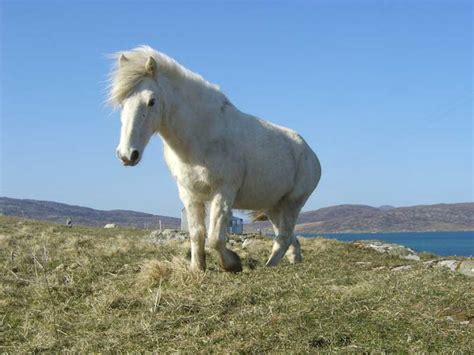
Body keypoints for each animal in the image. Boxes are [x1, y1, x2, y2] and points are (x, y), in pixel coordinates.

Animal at [109, 44, 320, 272]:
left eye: (151, 102)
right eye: (122, 103)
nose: (127, 154)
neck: (202, 134)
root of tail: (310, 153)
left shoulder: (223, 192)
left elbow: (214, 238)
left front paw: (232, 263)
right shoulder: (189, 193)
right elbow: (196, 234)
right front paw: (197, 268)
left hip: (293, 203)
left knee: (283, 237)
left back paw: (270, 265)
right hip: (273, 206)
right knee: (288, 236)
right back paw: (293, 260)